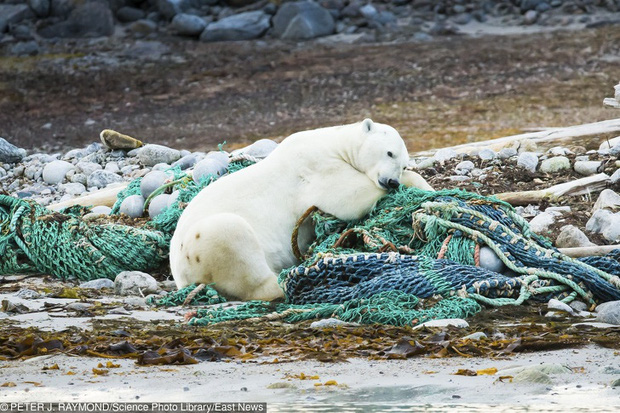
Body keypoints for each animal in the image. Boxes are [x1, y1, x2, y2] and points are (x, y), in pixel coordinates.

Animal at [167, 118, 434, 300]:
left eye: (403, 163)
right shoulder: (315, 166)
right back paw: (289, 281)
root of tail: (180, 275)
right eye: (389, 153)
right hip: (200, 247)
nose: (392, 181)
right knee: (232, 239)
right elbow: (346, 196)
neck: (333, 143)